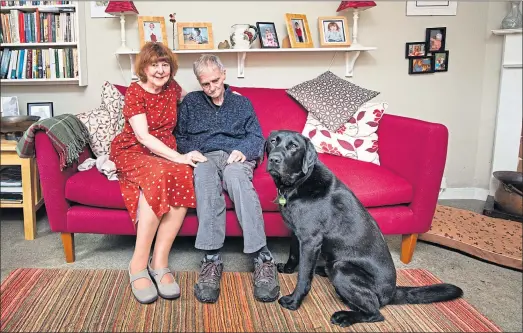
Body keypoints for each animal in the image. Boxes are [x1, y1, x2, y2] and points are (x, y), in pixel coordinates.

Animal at [266, 130, 462, 326]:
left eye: (293, 146)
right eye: (273, 141)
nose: (274, 159)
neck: (298, 184)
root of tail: (392, 293)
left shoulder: (310, 241)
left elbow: (304, 276)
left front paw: (293, 301)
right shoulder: (296, 232)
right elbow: (293, 254)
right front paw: (287, 269)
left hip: (342, 269)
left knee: (375, 313)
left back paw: (345, 316)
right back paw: (324, 271)